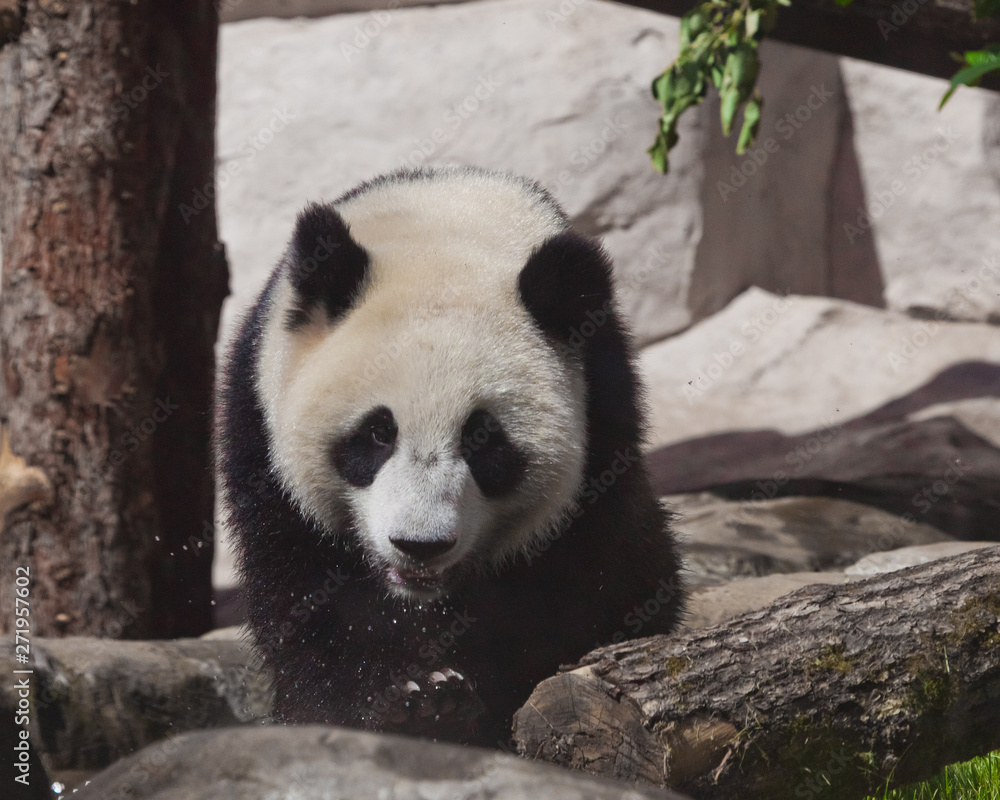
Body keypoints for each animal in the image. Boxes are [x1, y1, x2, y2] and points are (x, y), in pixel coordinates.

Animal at [215, 165, 683, 747]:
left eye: (482, 440)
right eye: (378, 433)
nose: (420, 546)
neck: (440, 225)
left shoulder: (603, 428)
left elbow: (601, 588)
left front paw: (463, 704)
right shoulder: (259, 434)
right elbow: (307, 600)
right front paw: (413, 701)